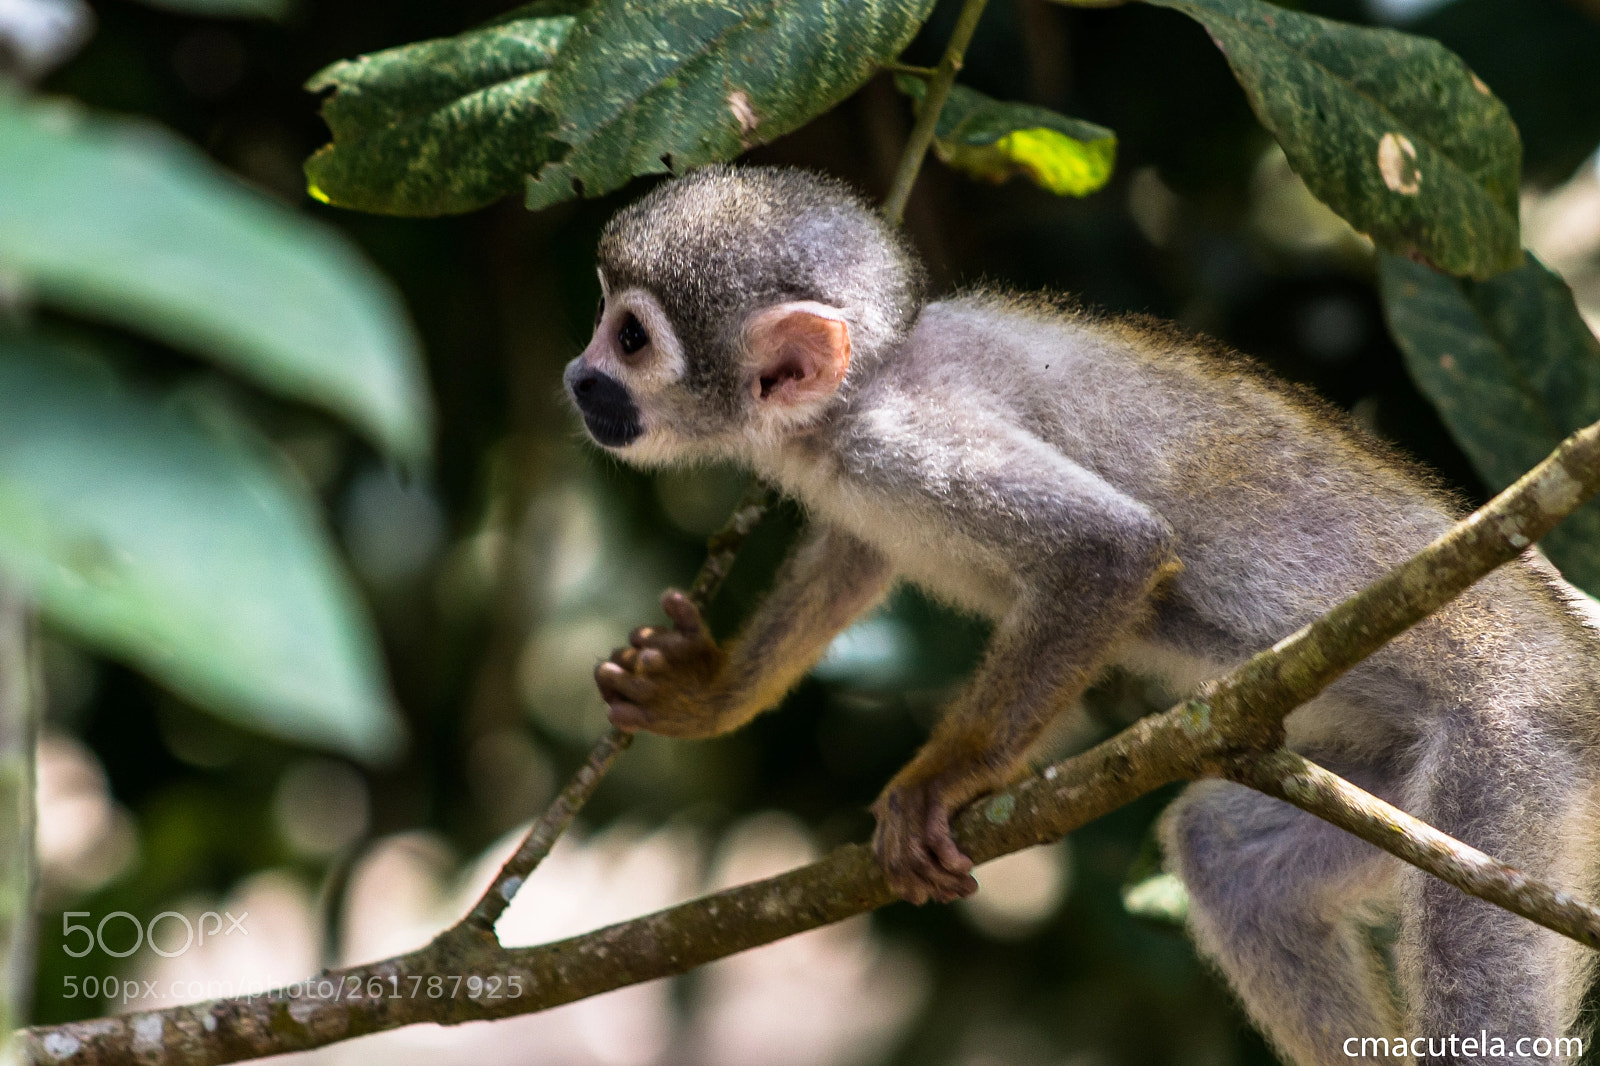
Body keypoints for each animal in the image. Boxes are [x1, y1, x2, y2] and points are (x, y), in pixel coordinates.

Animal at [562, 164, 1600, 1066]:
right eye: (604, 320)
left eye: (632, 338)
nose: (576, 377)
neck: (859, 393)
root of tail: (1572, 652)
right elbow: (858, 554)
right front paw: (716, 693)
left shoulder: (898, 439)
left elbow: (1112, 548)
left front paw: (945, 781)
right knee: (1226, 860)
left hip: (1514, 744)